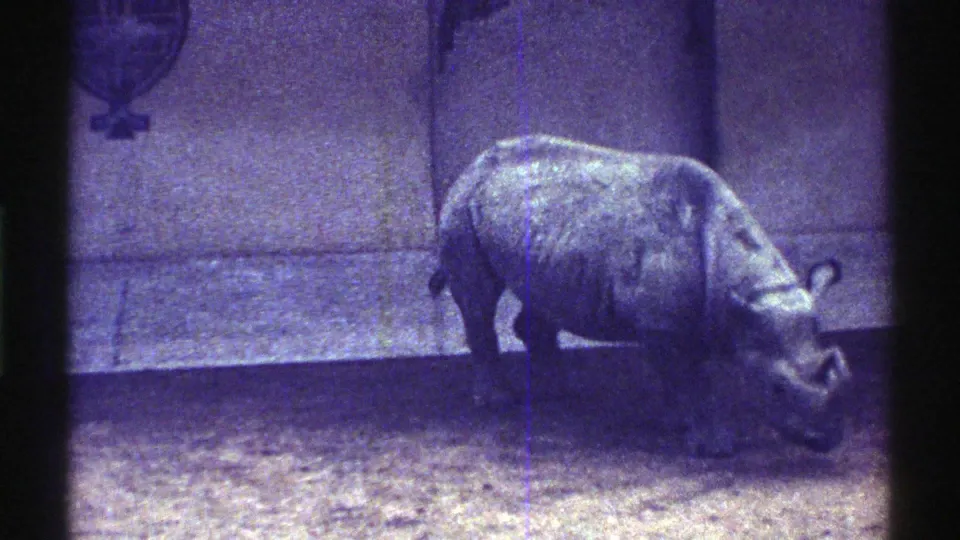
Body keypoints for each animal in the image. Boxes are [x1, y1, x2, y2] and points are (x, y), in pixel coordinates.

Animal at [428, 134, 851, 457]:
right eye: (776, 388)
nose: (825, 441)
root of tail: (474, 162)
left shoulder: (703, 318)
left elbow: (687, 376)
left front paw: (676, 423)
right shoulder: (663, 324)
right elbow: (692, 379)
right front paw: (712, 447)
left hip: (537, 222)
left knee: (541, 295)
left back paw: (561, 395)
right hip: (463, 202)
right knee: (479, 300)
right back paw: (499, 402)